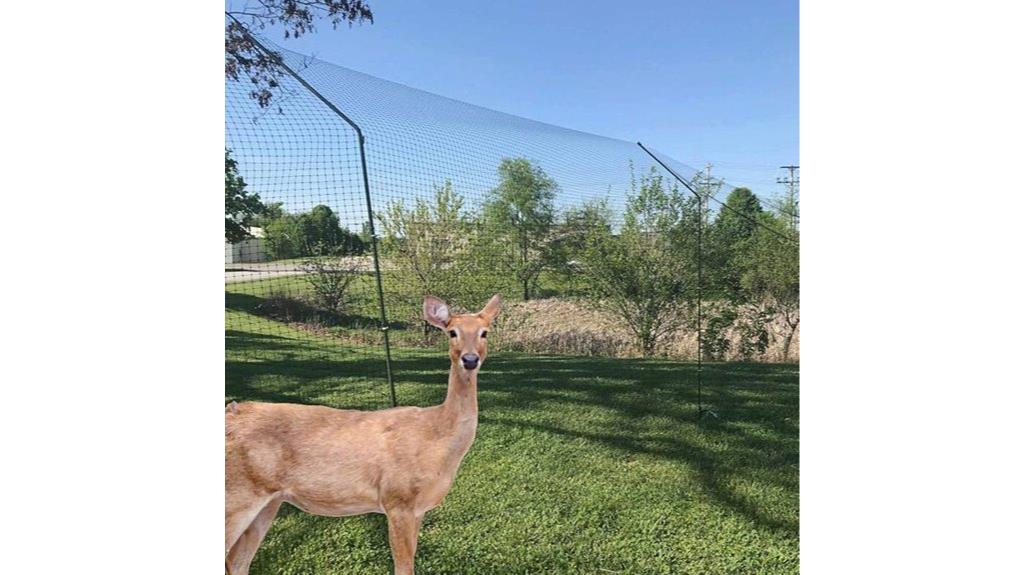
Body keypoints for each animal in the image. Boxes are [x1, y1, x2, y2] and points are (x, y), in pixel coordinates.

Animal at [225, 294, 501, 575]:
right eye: (452, 332)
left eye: (485, 332)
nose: (470, 359)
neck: (437, 438)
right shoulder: (396, 499)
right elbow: (403, 566)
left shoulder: (418, 509)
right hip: (236, 495)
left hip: (269, 502)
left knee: (237, 561)